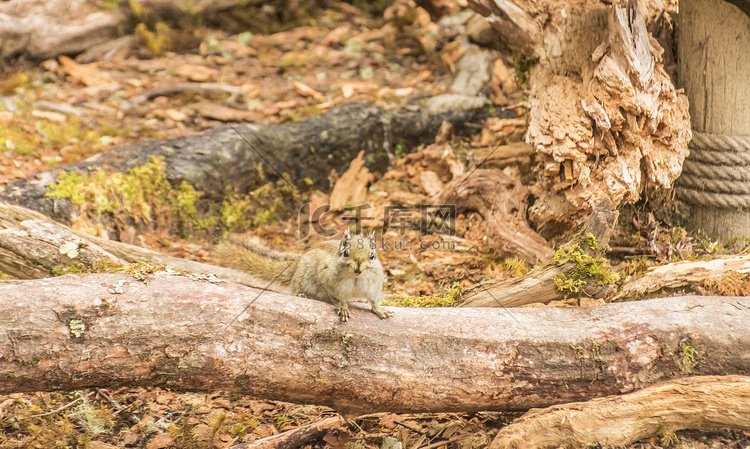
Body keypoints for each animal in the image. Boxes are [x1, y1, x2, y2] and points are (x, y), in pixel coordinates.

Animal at [216, 228, 394, 322]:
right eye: (345, 253)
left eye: (372, 256)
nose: (358, 269)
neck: (356, 278)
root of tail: (298, 262)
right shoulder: (326, 278)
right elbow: (336, 296)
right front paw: (343, 307)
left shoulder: (374, 286)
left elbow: (374, 301)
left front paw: (380, 310)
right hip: (303, 276)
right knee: (296, 287)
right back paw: (301, 294)